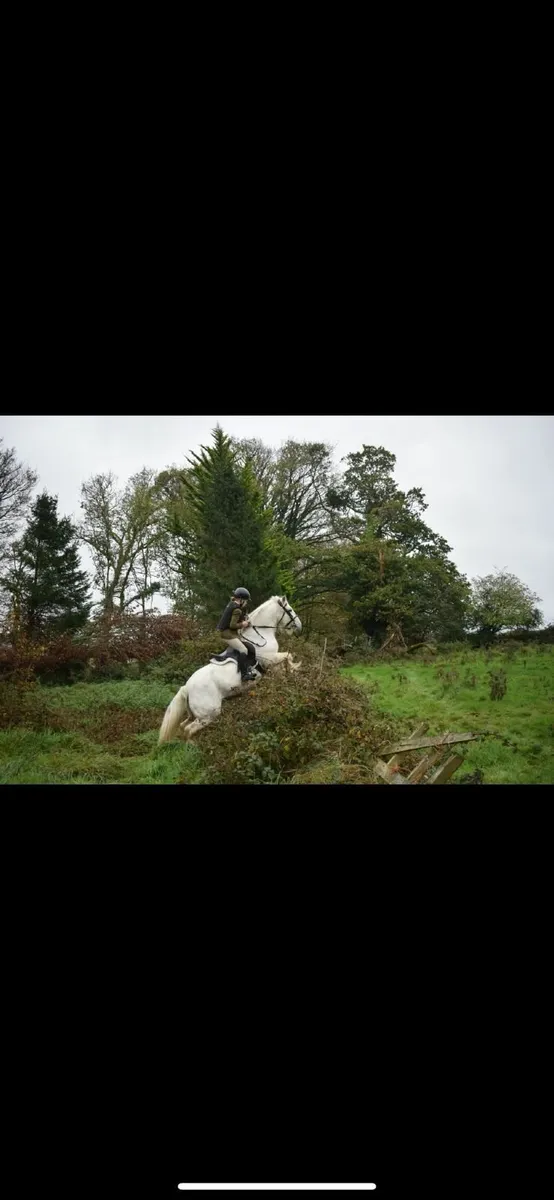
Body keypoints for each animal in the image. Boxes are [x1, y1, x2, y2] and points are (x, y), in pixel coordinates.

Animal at [158, 594, 302, 744]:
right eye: (290, 610)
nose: (299, 627)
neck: (261, 634)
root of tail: (186, 687)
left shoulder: (272, 664)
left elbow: (284, 664)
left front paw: (291, 675)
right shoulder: (270, 659)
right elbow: (288, 656)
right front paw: (296, 668)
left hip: (194, 714)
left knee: (183, 725)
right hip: (208, 715)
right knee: (189, 730)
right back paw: (193, 746)